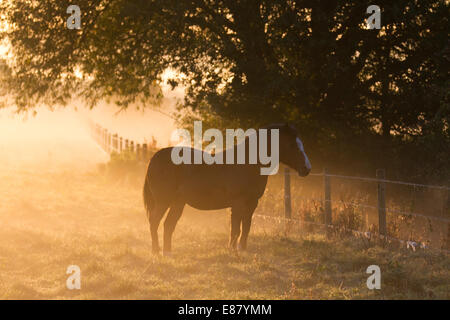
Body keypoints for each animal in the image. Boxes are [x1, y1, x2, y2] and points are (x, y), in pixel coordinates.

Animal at [142, 122, 312, 255]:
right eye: (292, 145)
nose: (307, 168)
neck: (248, 165)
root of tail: (155, 157)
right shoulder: (238, 204)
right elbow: (236, 229)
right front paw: (232, 251)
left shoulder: (251, 204)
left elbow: (245, 228)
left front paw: (242, 250)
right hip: (164, 201)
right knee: (154, 221)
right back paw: (156, 251)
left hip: (178, 203)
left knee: (168, 225)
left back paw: (167, 252)